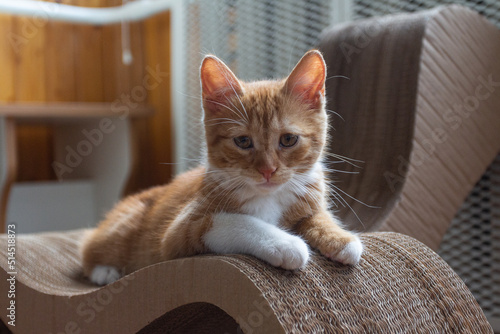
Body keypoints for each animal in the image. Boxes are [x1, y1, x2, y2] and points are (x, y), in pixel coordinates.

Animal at [81, 49, 364, 284]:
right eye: (243, 141)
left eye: (288, 139)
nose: (268, 170)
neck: (268, 197)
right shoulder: (178, 234)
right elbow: (232, 221)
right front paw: (285, 243)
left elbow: (317, 216)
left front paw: (339, 238)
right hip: (123, 226)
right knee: (88, 248)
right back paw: (104, 271)